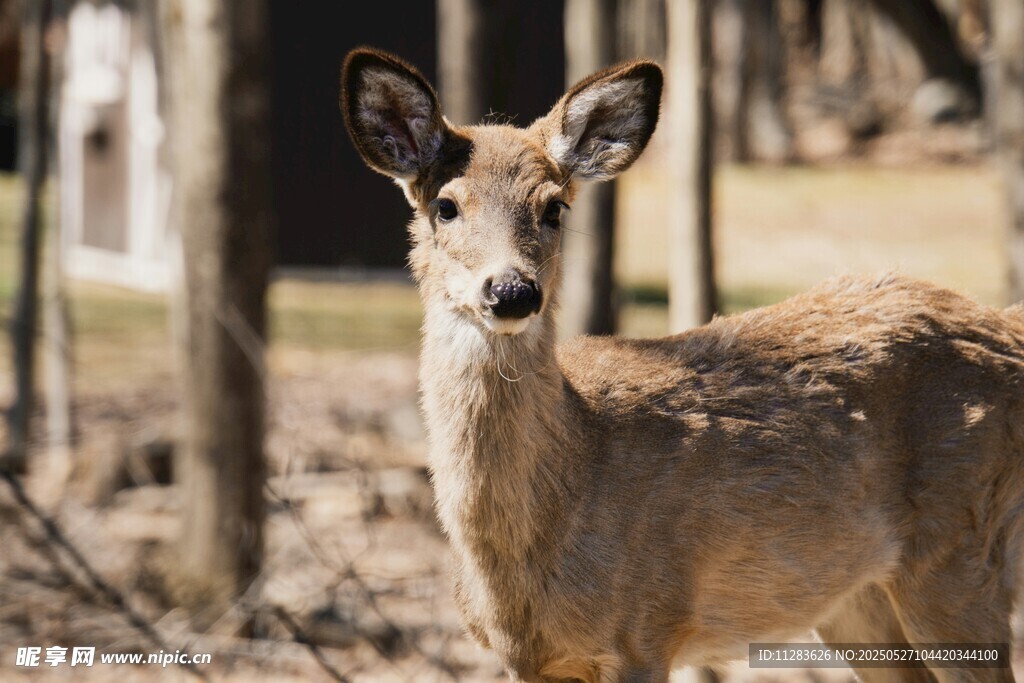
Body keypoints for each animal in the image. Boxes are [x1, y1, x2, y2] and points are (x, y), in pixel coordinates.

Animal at [341, 47, 1024, 683]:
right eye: (446, 206)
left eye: (554, 207)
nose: (512, 291)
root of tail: (1008, 329)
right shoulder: (523, 657)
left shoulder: (647, 623)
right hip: (856, 600)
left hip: (961, 546)